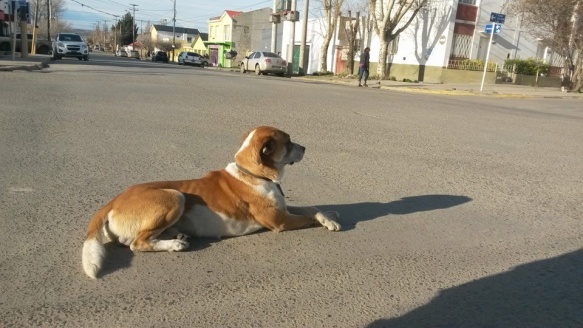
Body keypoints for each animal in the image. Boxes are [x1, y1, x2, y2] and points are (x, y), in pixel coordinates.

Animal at [80, 127, 340, 278]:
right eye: (288, 141)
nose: (305, 147)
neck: (253, 173)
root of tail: (114, 201)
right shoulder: (281, 221)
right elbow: (308, 217)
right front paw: (328, 221)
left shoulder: (283, 210)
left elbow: (313, 209)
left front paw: (330, 217)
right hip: (174, 196)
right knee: (137, 243)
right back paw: (175, 244)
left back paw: (178, 236)